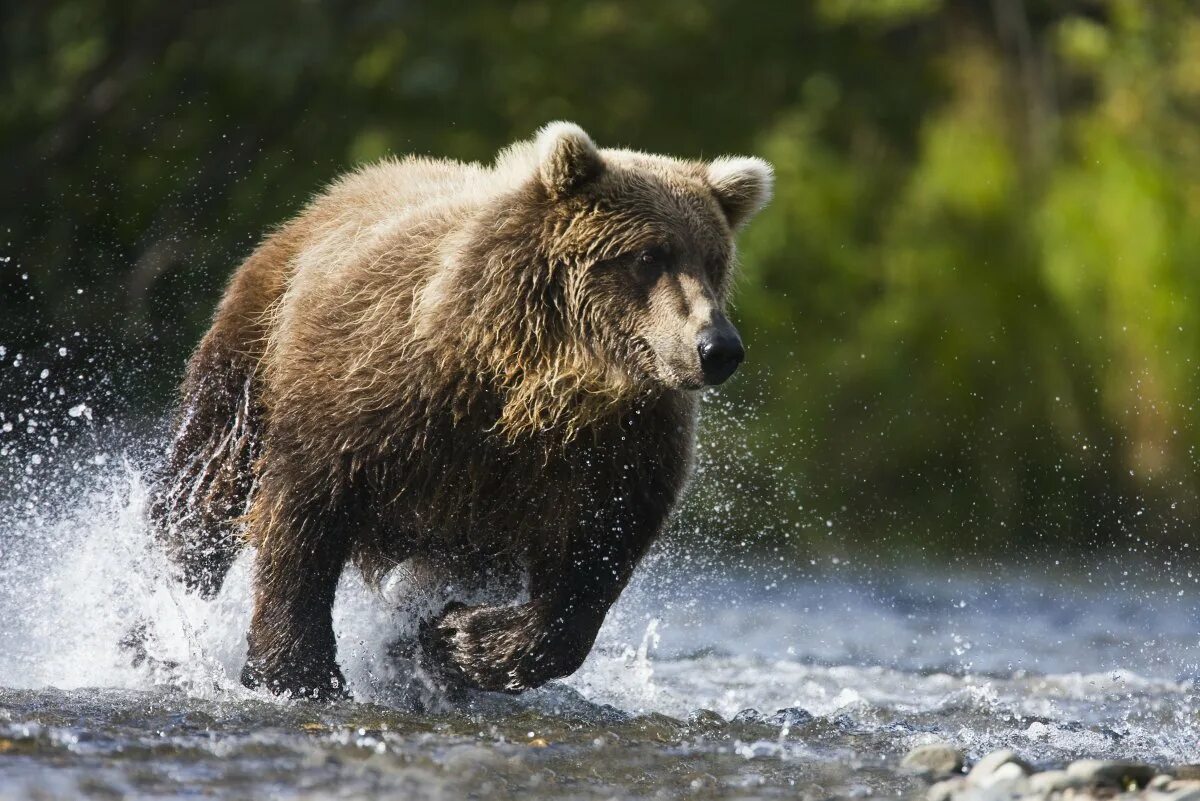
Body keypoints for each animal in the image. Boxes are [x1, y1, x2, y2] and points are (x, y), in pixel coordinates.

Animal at [147, 122, 777, 695]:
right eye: (649, 255)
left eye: (714, 260)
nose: (718, 347)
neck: (538, 385)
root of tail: (333, 193)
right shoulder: (375, 392)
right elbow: (304, 514)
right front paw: (296, 672)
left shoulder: (615, 447)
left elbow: (594, 559)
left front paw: (461, 639)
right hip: (254, 349)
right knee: (204, 487)